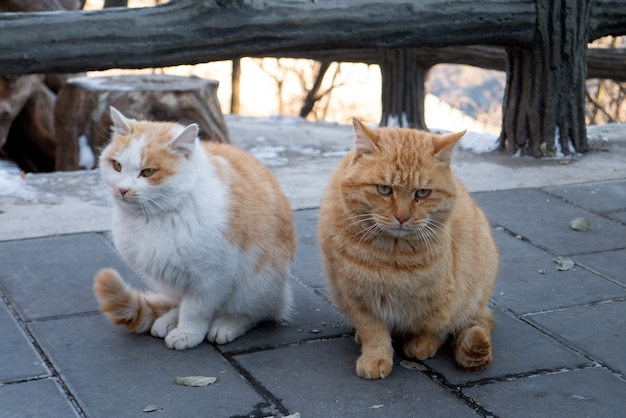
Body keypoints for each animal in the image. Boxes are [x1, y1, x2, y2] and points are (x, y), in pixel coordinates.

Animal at [94, 108, 296, 350]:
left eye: (148, 172)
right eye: (117, 166)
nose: (122, 189)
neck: (159, 216)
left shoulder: (211, 277)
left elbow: (195, 310)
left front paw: (187, 333)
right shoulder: (172, 276)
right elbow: (184, 304)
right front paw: (176, 322)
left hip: (260, 284)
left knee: (257, 312)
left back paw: (227, 324)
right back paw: (169, 320)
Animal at [316, 120, 498, 378]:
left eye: (422, 193)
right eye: (384, 189)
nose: (402, 217)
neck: (390, 255)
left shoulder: (442, 297)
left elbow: (434, 326)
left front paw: (422, 342)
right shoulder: (356, 296)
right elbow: (374, 332)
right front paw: (376, 357)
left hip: (475, 295)